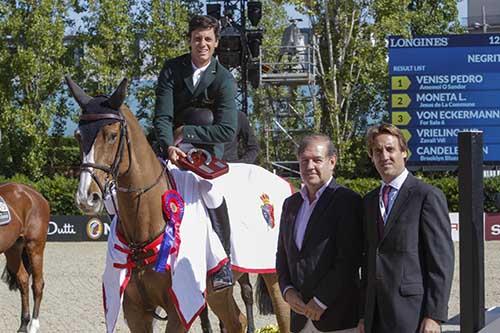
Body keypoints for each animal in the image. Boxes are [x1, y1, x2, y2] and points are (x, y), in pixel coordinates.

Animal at [0, 183, 50, 330]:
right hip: (13, 249)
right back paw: (23, 325)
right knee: (23, 279)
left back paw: (33, 325)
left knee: (38, 284)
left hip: (35, 247)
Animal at [65, 76, 290, 332]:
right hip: (217, 292)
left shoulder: (178, 308)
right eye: (79, 136)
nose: (86, 197)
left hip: (273, 275)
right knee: (236, 320)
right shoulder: (135, 311)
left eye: (112, 135)